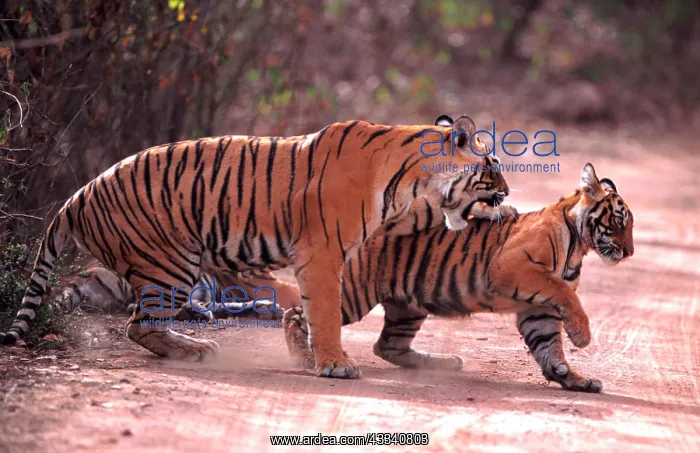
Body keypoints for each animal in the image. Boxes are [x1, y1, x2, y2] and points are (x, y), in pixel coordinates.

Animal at [0, 114, 515, 379]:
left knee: (144, 323)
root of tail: (76, 196)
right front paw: (334, 363)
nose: (508, 191)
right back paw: (195, 350)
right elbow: (324, 312)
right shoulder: (322, 253)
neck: (410, 177)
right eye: (490, 167)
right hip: (170, 264)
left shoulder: (390, 220)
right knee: (138, 325)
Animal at [282, 163, 634, 391]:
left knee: (388, 345)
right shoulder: (514, 268)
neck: (579, 244)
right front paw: (581, 336)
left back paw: (445, 362)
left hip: (408, 305)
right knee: (299, 315)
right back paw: (306, 358)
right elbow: (567, 294)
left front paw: (570, 377)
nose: (629, 252)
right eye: (619, 221)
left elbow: (547, 342)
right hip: (355, 293)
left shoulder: (538, 309)